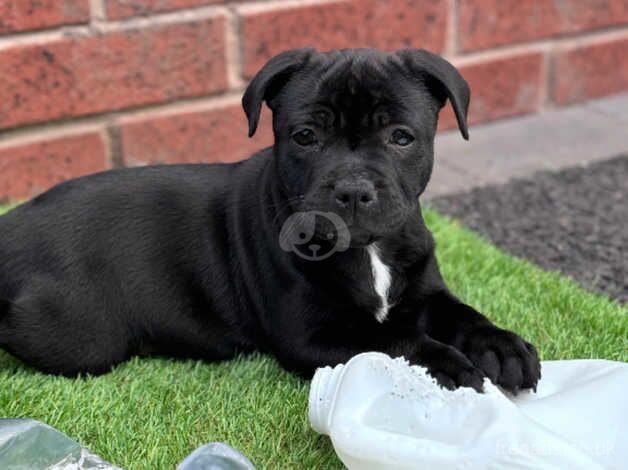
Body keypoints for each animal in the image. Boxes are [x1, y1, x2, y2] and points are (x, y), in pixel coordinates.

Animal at [0, 47, 540, 392]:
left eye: (401, 137)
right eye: (305, 136)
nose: (352, 189)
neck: (368, 249)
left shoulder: (424, 292)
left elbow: (463, 314)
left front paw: (502, 347)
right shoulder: (312, 336)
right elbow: (391, 340)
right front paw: (445, 362)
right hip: (82, 334)